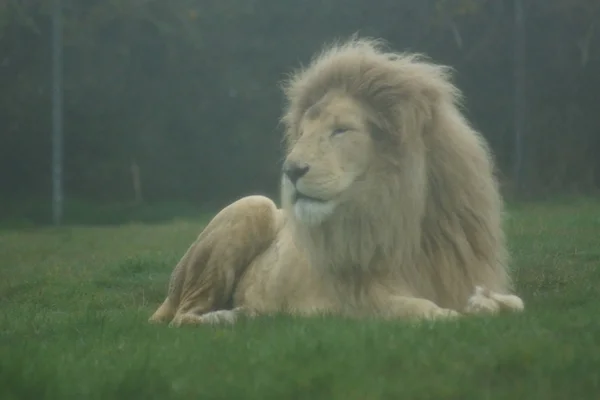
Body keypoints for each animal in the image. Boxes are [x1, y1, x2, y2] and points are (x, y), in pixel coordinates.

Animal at [150, 36, 524, 326]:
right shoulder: (354, 299)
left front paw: (485, 304)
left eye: (341, 130)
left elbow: (514, 304)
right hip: (252, 206)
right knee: (183, 317)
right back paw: (230, 317)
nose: (291, 170)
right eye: (303, 134)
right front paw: (456, 313)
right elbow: (425, 311)